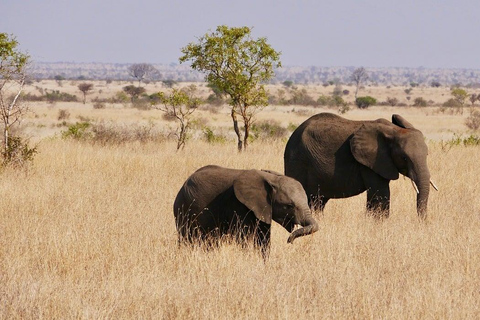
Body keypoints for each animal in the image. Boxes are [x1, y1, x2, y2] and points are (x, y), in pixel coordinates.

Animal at [172, 165, 318, 255]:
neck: (271, 178)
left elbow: (264, 238)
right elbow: (245, 237)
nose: (289, 241)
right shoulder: (238, 205)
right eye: (288, 206)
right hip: (183, 209)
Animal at [284, 111, 438, 219]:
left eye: (427, 155)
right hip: (297, 161)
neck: (393, 130)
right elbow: (380, 192)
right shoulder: (370, 161)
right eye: (404, 158)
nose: (422, 221)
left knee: (318, 201)